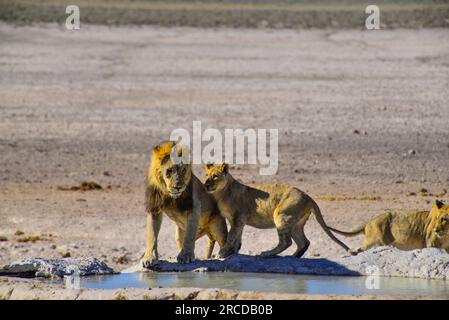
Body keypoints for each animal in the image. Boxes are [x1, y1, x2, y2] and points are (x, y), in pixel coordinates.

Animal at [204, 164, 350, 258]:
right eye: (206, 175)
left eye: (215, 176)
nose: (206, 184)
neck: (221, 193)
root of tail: (308, 197)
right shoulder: (237, 220)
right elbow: (237, 237)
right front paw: (233, 252)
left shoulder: (239, 217)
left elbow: (231, 236)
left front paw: (222, 253)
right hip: (296, 223)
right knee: (304, 242)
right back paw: (292, 257)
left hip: (281, 214)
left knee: (286, 242)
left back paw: (267, 253)